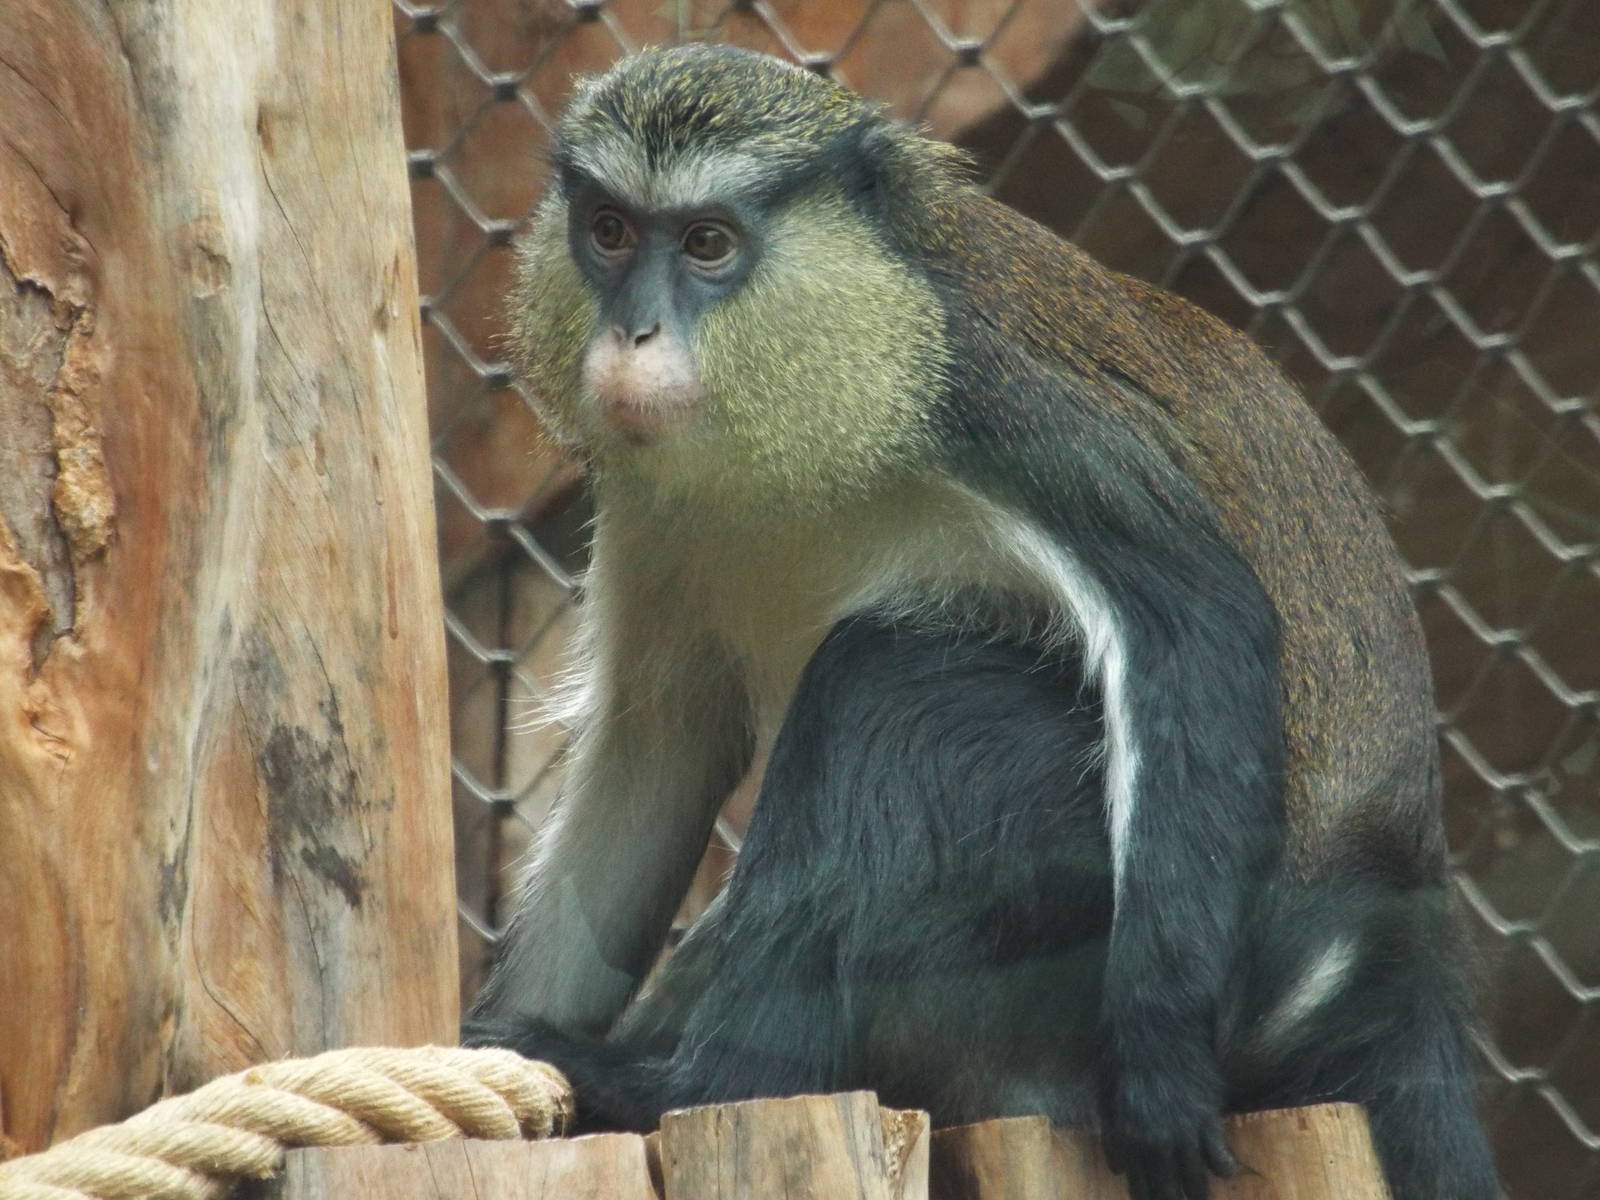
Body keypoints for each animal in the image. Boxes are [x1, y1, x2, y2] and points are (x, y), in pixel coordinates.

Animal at [462, 44, 1499, 1200]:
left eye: (707, 243)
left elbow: (1196, 621)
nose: (631, 331)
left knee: (890, 675)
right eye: (608, 232)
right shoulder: (650, 505)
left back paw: (697, 1085)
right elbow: (657, 741)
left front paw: (1158, 1063)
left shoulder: (993, 403)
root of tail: (1384, 938)